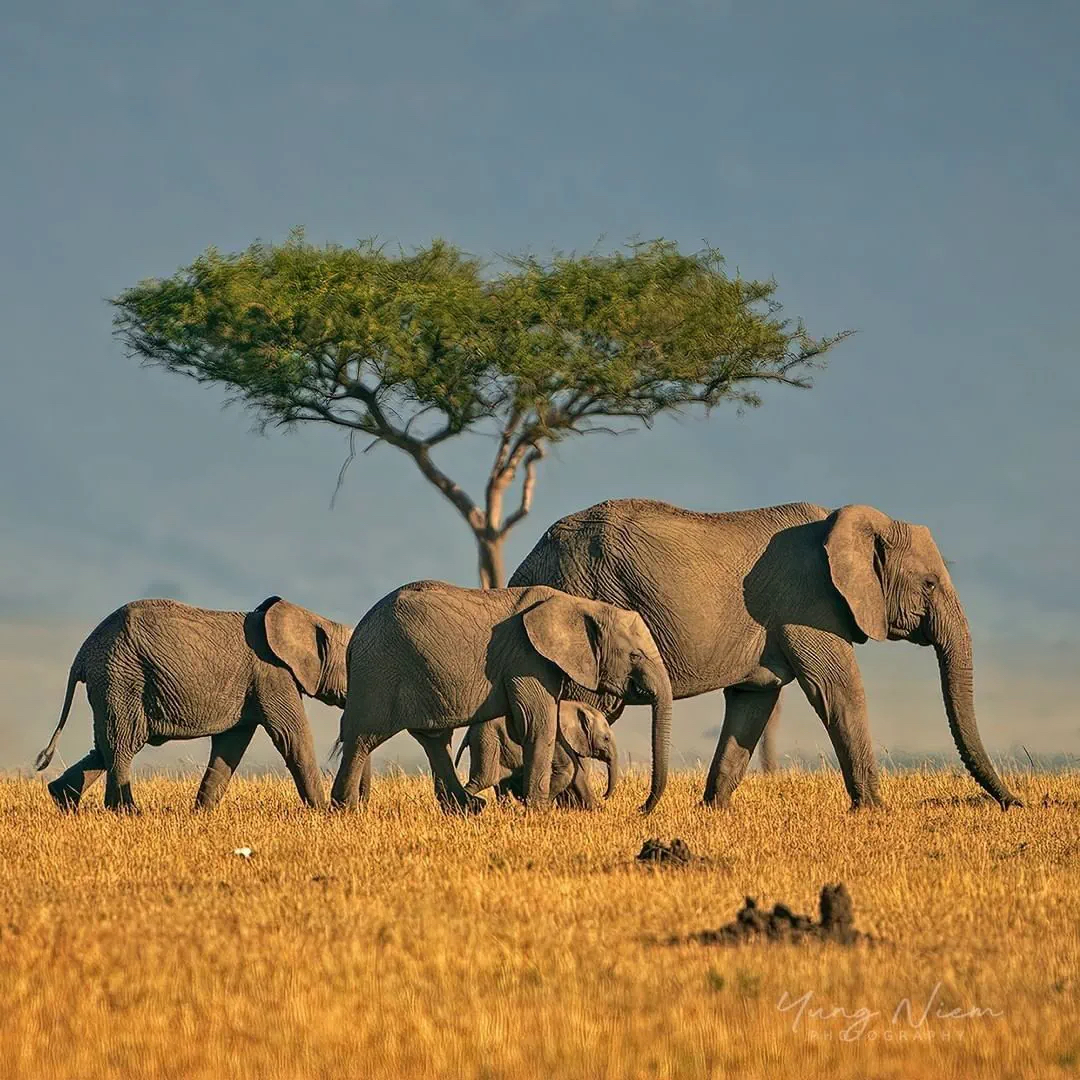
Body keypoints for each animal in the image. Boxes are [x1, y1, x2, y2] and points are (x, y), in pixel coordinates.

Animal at [35, 596, 351, 813]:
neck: (310, 618)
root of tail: (82, 654)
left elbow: (230, 746)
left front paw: (201, 813)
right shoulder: (272, 674)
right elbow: (292, 735)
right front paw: (322, 813)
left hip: (112, 682)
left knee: (105, 746)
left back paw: (62, 800)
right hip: (122, 677)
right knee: (124, 741)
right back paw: (127, 813)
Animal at [454, 701, 619, 808]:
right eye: (606, 738)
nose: (604, 796)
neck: (577, 707)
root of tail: (469, 731)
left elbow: (578, 774)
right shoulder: (556, 735)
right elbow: (569, 770)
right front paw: (542, 808)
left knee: (499, 781)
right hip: (486, 740)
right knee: (484, 779)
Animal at [509, 499, 1021, 811]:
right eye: (929, 584)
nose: (1014, 805)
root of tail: (529, 561)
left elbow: (753, 701)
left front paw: (713, 810)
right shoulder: (809, 603)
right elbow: (837, 689)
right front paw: (876, 812)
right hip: (586, 597)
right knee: (586, 706)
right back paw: (579, 807)